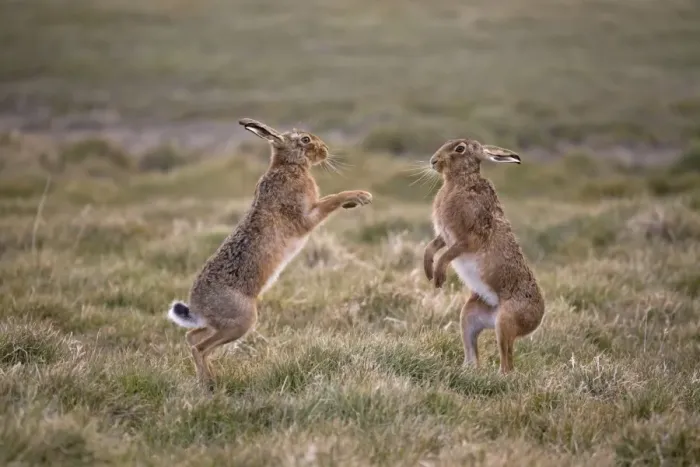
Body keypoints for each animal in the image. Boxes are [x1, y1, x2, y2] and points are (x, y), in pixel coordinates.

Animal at [167, 118, 373, 387]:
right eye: (305, 139)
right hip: (241, 321)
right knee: (200, 347)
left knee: (192, 338)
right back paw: (211, 384)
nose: (325, 150)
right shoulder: (305, 216)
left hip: (221, 325)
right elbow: (331, 200)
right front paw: (360, 196)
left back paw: (208, 379)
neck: (289, 166)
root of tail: (197, 307)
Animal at [422, 138, 544, 374]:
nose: (433, 161)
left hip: (506, 321)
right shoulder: (446, 235)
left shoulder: (470, 236)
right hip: (470, 314)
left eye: (460, 148)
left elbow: (449, 254)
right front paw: (428, 270)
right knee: (473, 352)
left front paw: (439, 276)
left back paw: (499, 376)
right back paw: (467, 370)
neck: (460, 181)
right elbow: (433, 246)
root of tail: (539, 317)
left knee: (507, 362)